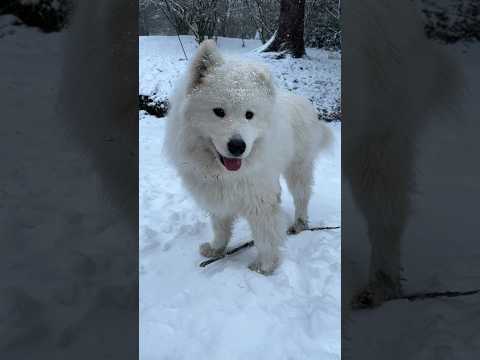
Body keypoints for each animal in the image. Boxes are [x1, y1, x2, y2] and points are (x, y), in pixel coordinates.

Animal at [163, 40, 332, 276]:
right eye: (219, 111)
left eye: (249, 115)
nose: (237, 146)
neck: (224, 173)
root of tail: (304, 101)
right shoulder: (218, 199)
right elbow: (221, 229)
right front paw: (216, 250)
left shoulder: (259, 201)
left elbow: (265, 237)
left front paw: (264, 267)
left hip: (298, 169)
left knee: (302, 197)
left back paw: (299, 224)